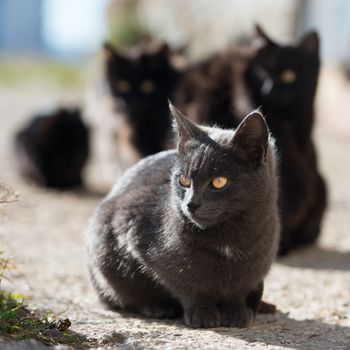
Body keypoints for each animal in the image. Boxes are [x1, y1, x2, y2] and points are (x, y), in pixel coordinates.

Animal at [87, 105, 278, 330]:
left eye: (219, 182)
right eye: (184, 180)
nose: (191, 204)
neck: (229, 239)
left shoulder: (255, 267)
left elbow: (239, 289)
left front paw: (236, 312)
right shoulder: (133, 228)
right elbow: (187, 286)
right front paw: (201, 312)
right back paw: (158, 307)